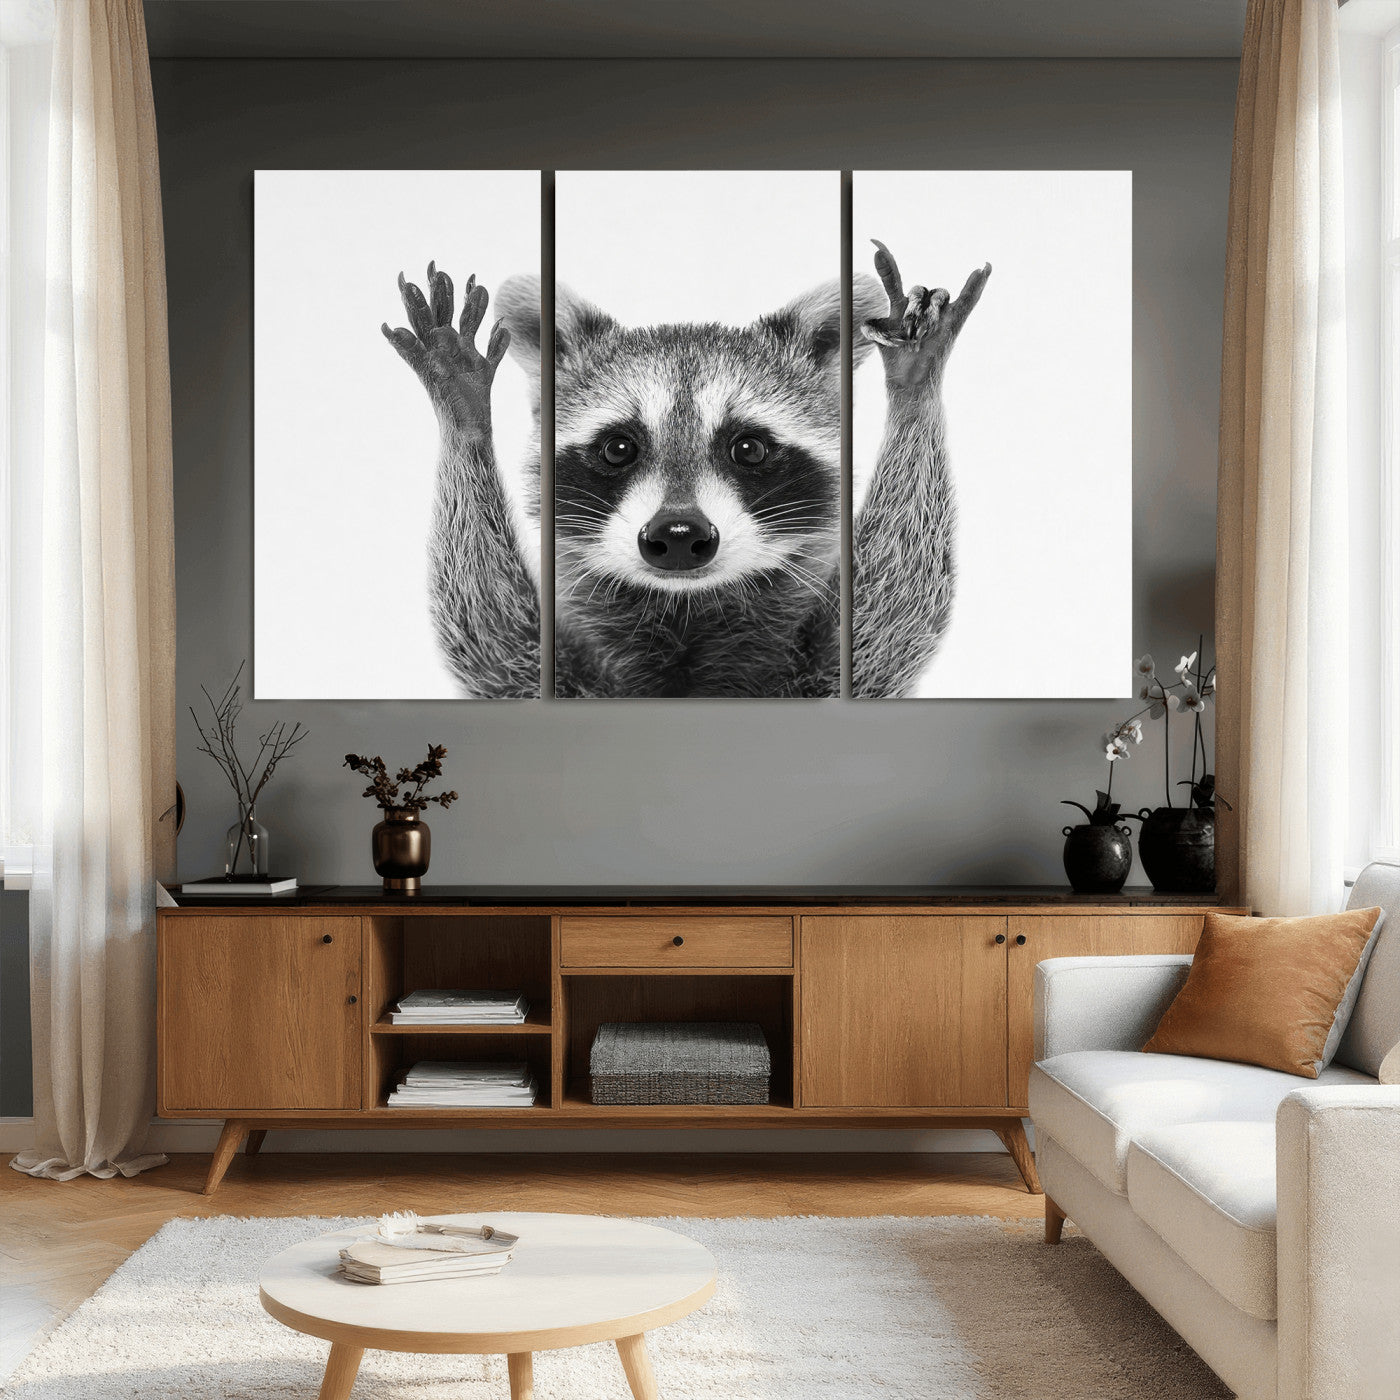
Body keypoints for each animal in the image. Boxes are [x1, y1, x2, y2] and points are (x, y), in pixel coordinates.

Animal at [382, 243, 989, 698]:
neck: (684, 613)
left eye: (749, 449)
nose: (677, 534)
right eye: (618, 448)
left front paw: (914, 384)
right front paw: (463, 409)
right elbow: (488, 636)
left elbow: (895, 608)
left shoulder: (827, 672)